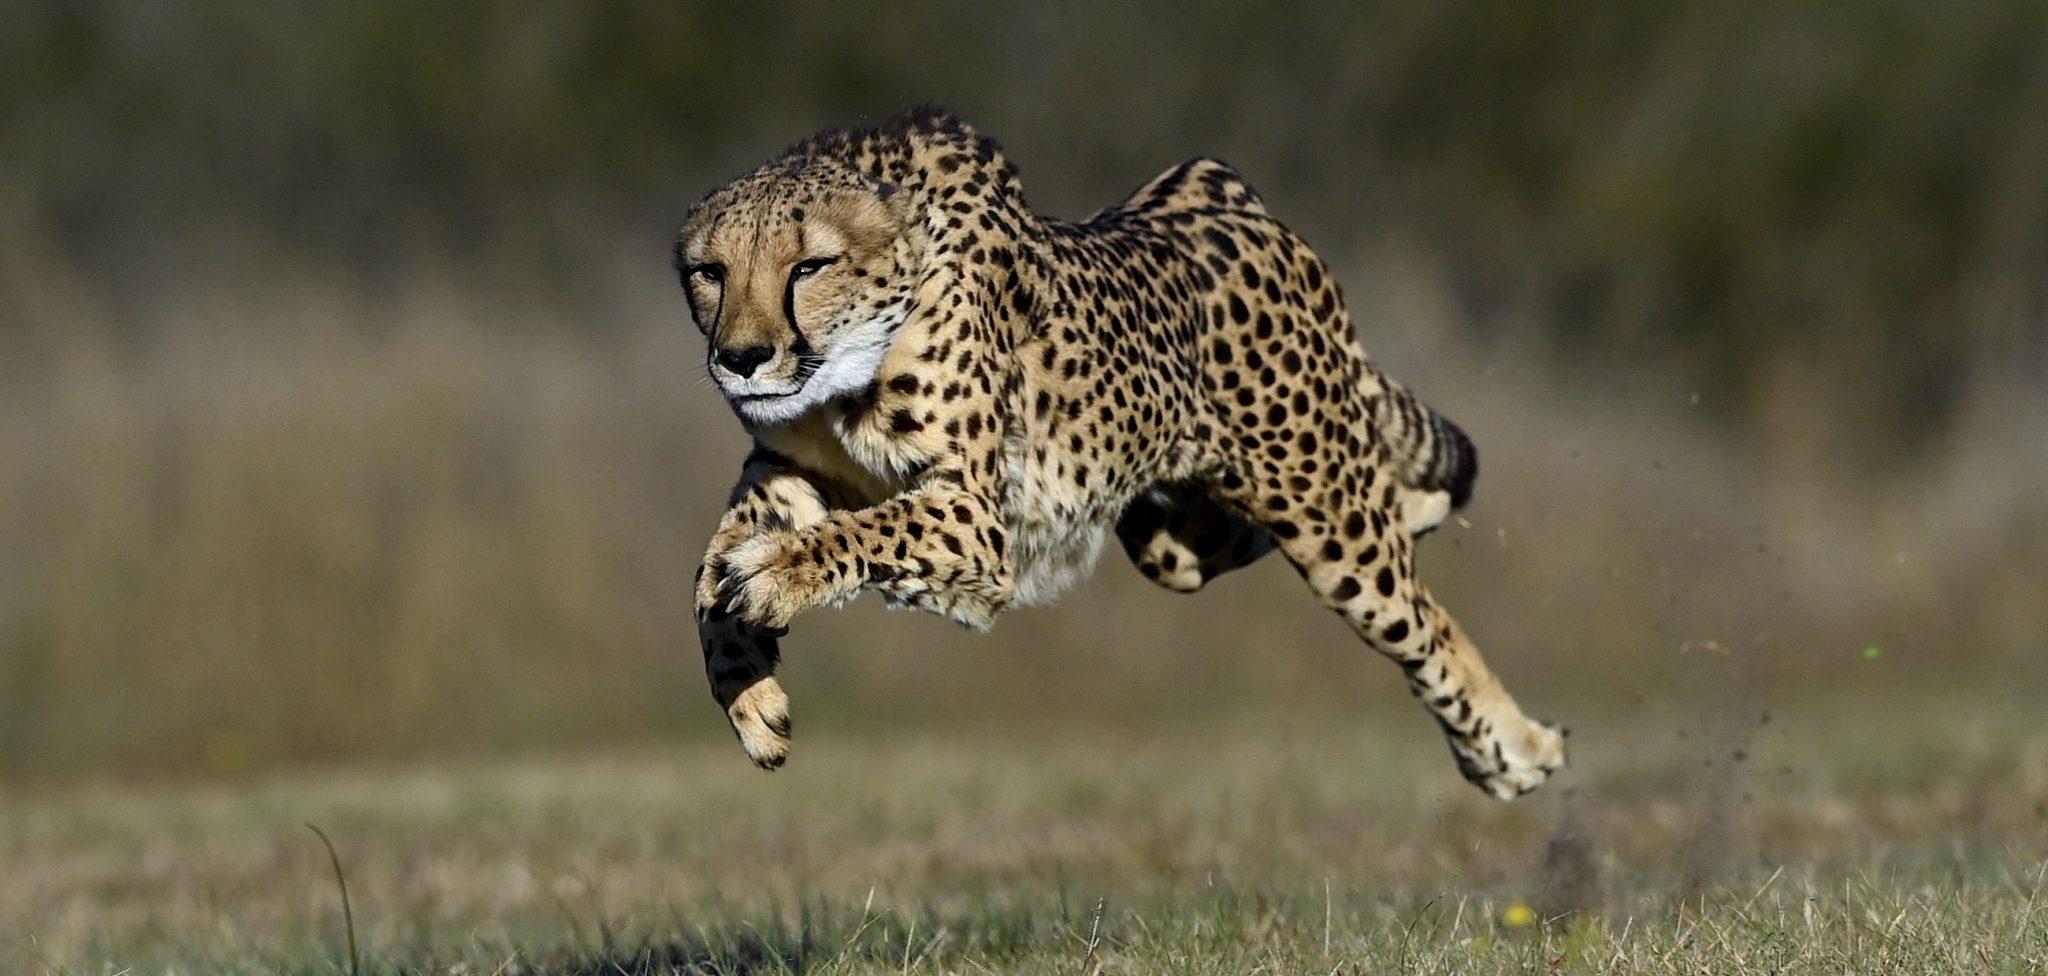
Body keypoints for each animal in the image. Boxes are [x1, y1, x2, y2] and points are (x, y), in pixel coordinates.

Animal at [674, 106, 1566, 799]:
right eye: (710, 272)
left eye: (810, 266)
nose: (742, 358)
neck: (844, 372)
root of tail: (1219, 191)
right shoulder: (786, 468)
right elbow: (708, 570)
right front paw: (746, 688)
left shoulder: (975, 517)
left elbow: (852, 535)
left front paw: (775, 575)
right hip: (1169, 535)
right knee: (1247, 537)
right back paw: (1422, 508)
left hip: (1326, 516)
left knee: (1425, 621)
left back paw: (1517, 751)